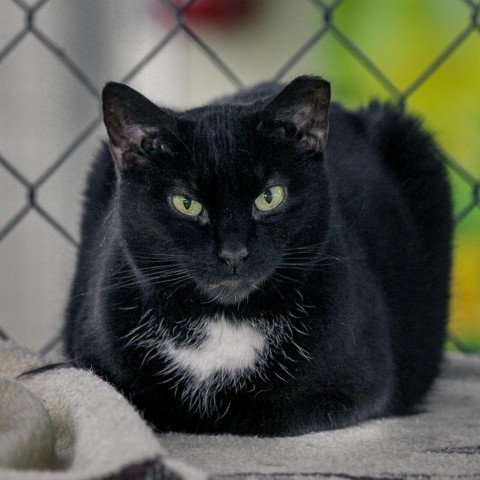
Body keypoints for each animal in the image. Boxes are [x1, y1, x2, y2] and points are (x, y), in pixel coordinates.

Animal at [64, 75, 454, 436]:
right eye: (186, 203)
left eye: (269, 197)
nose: (233, 252)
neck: (225, 320)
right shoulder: (92, 364)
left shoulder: (350, 390)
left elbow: (262, 412)